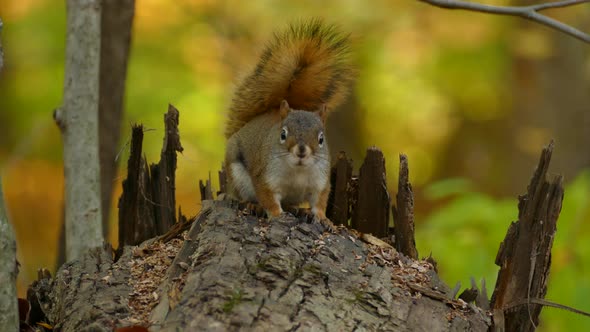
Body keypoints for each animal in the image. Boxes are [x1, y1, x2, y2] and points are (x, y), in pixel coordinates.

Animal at [223, 17, 354, 220]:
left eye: (321, 139)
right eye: (283, 135)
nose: (301, 150)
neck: (297, 170)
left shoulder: (320, 181)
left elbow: (320, 201)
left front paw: (323, 219)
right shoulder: (265, 177)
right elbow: (268, 198)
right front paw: (277, 215)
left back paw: (298, 209)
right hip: (237, 175)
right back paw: (253, 205)